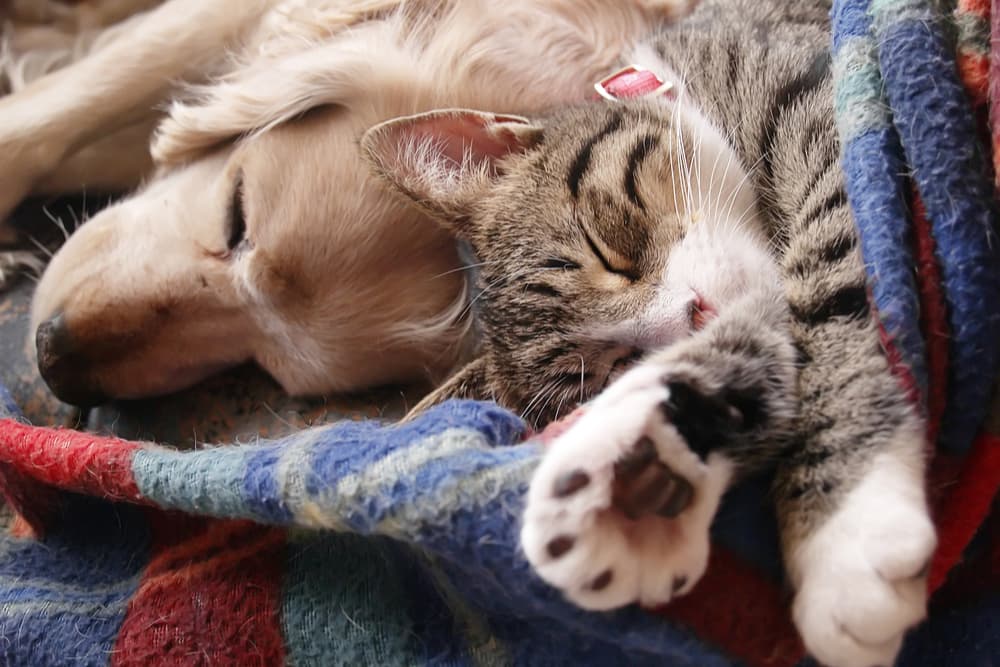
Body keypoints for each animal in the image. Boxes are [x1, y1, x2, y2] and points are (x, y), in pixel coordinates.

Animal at [362, 1, 936, 667]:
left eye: (606, 251)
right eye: (616, 364)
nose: (696, 315)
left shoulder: (828, 106)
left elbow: (831, 280)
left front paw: (845, 529)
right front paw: (640, 465)